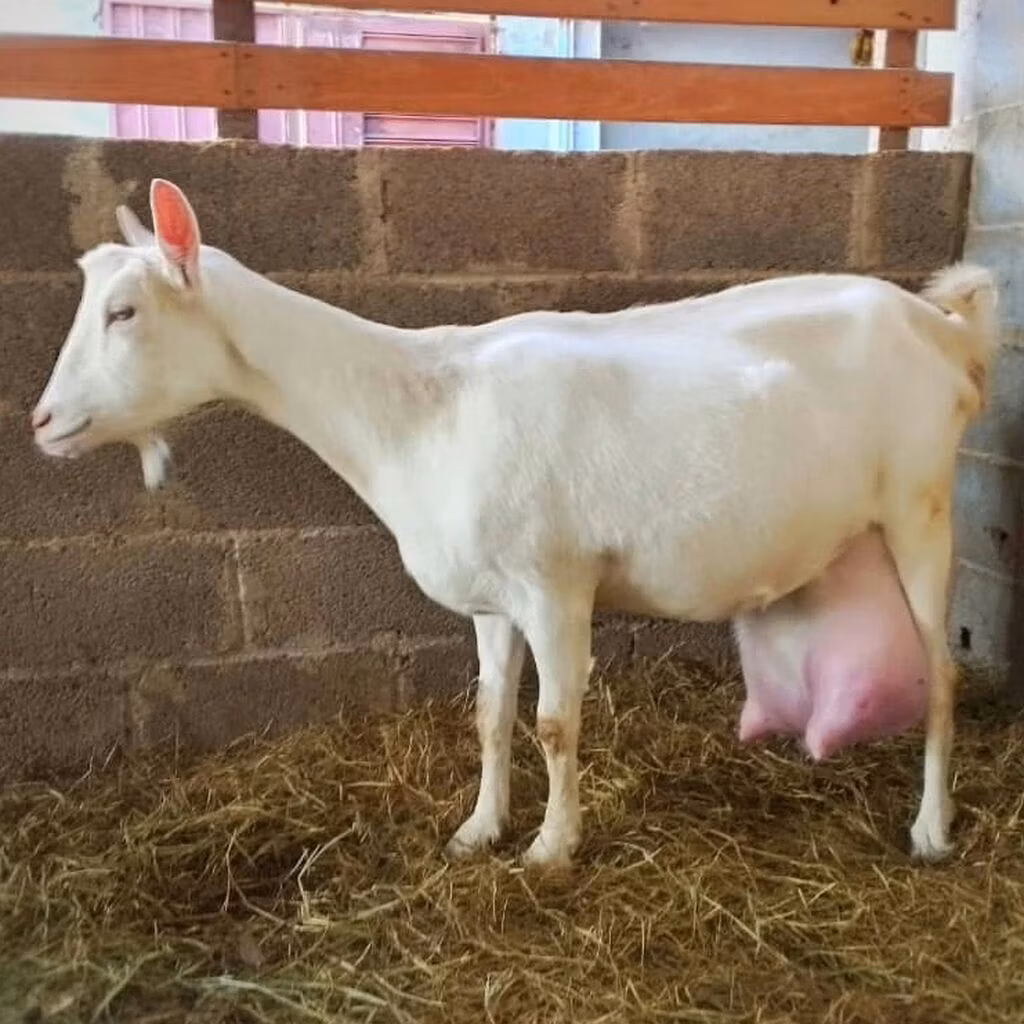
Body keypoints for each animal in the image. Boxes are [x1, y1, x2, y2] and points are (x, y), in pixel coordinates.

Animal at [32, 178, 998, 868]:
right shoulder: (492, 599)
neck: (420, 408)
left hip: (923, 505)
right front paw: (477, 829)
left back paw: (931, 831)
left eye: (124, 311)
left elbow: (556, 724)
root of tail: (948, 332)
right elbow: (491, 716)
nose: (41, 422)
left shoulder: (556, 585)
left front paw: (549, 848)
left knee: (944, 673)